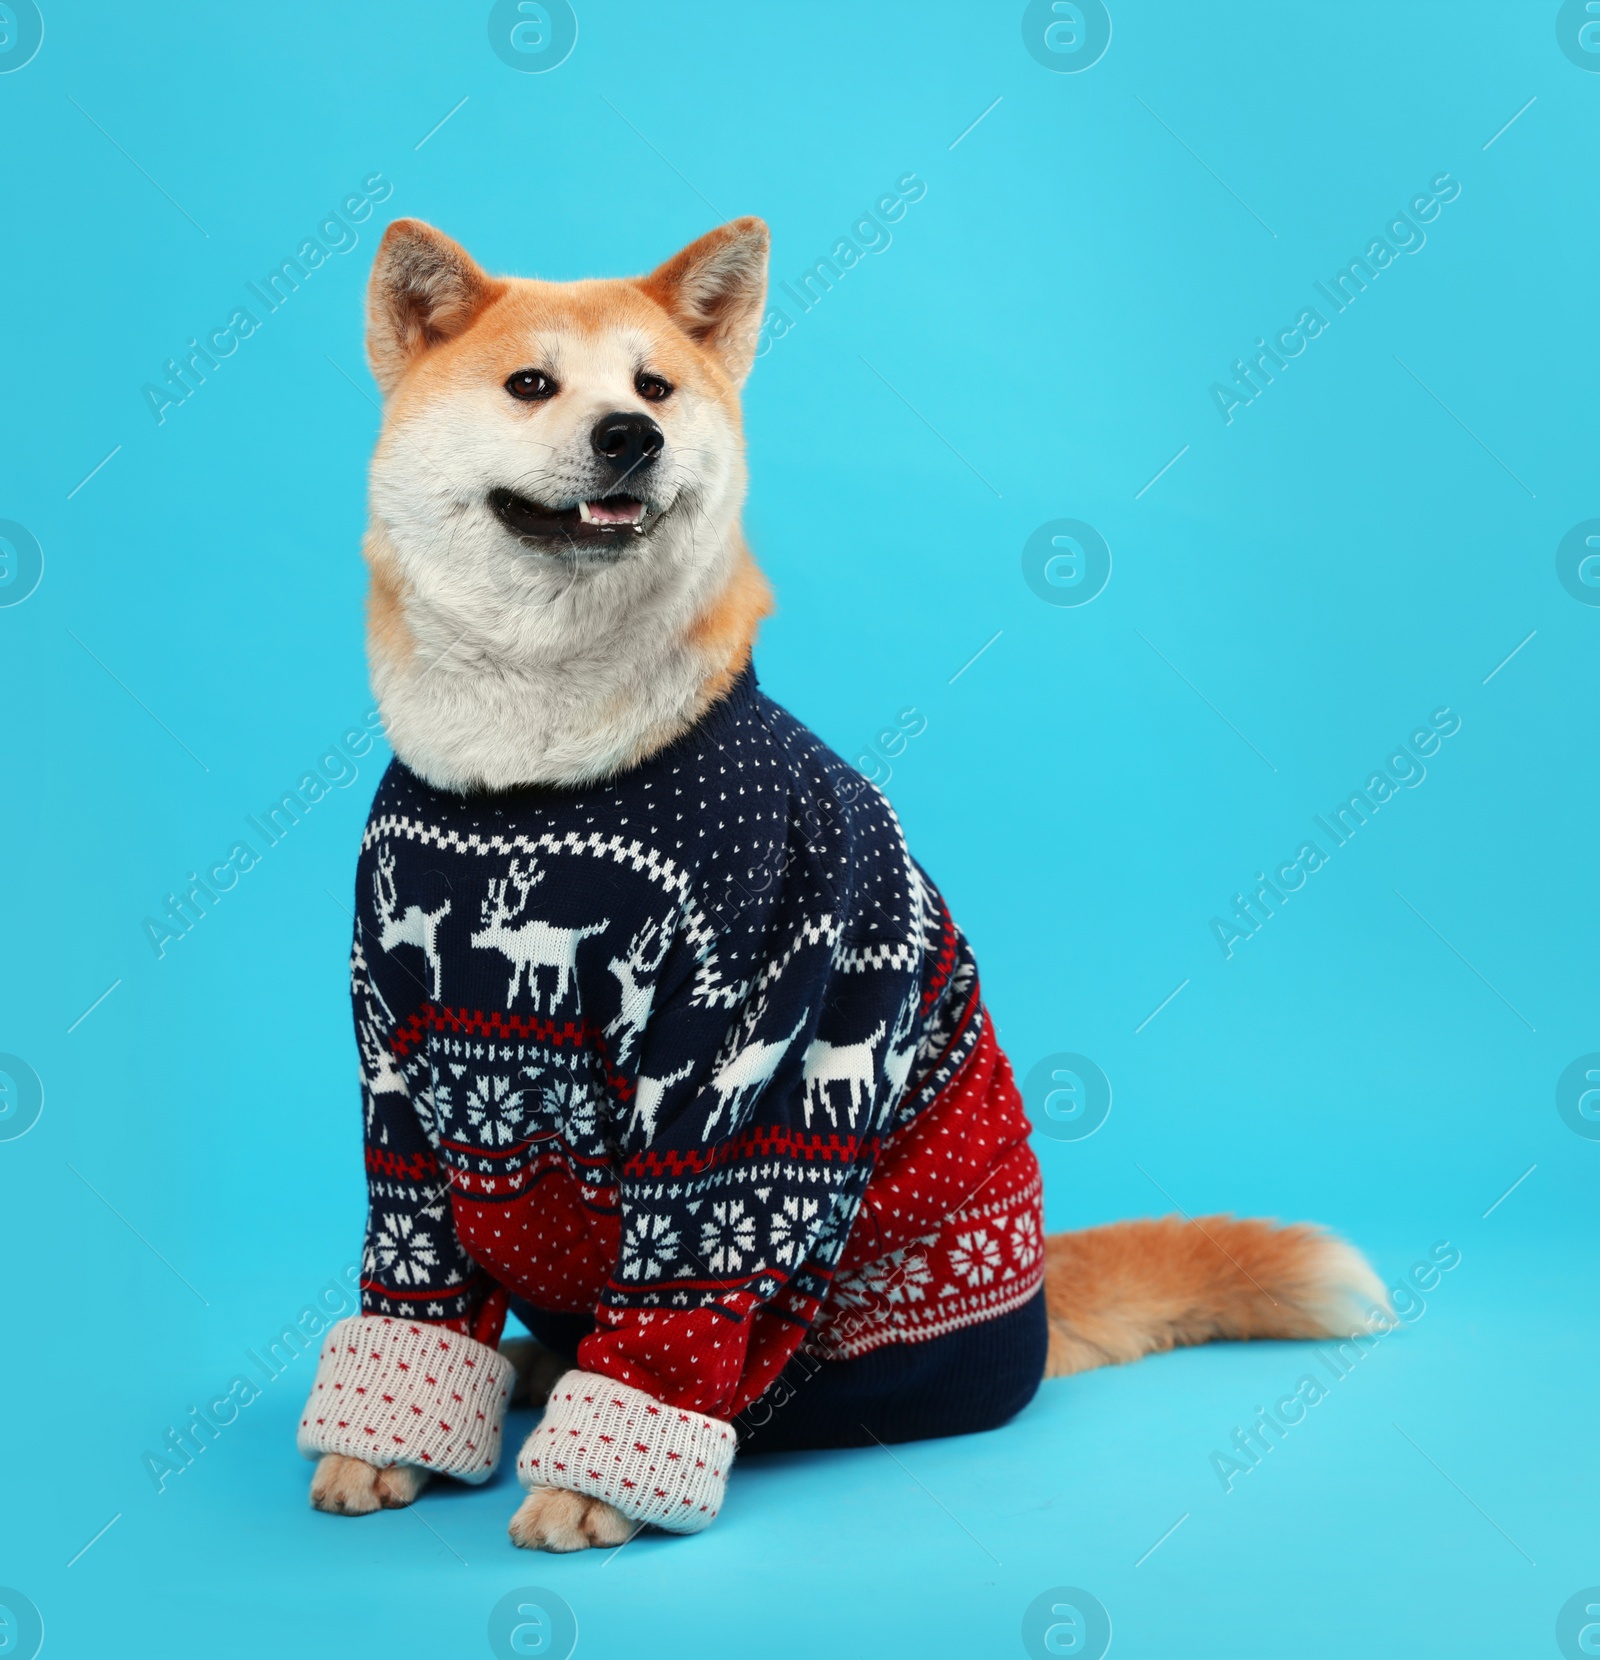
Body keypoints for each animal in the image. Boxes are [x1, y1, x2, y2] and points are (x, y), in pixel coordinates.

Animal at [300, 214, 1387, 1547]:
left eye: (654, 388)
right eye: (531, 385)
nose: (630, 438)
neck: (545, 769)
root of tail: (1032, 1307)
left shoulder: (731, 1072)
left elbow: (685, 1283)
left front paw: (589, 1478)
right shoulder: (403, 1074)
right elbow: (417, 1263)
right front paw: (383, 1443)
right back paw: (527, 1367)